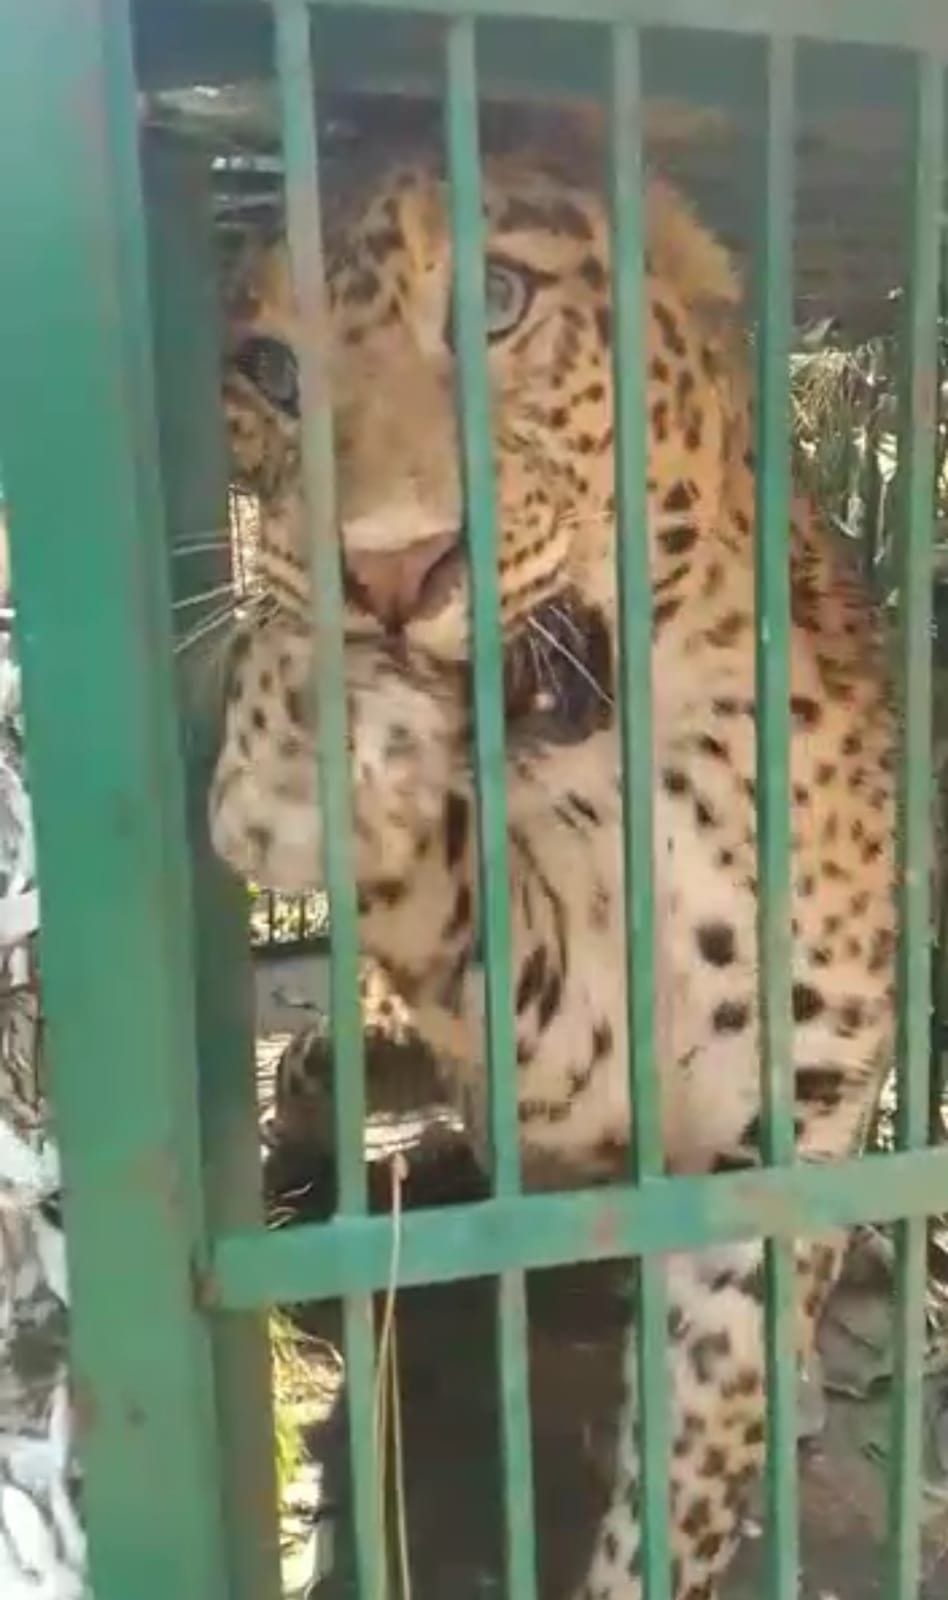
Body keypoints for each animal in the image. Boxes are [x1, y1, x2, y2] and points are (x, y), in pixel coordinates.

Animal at [208, 103, 897, 1600]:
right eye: (269, 373)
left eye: (498, 304)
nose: (388, 573)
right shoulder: (581, 1050)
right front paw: (305, 736)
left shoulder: (763, 1148)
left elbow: (687, 1475)